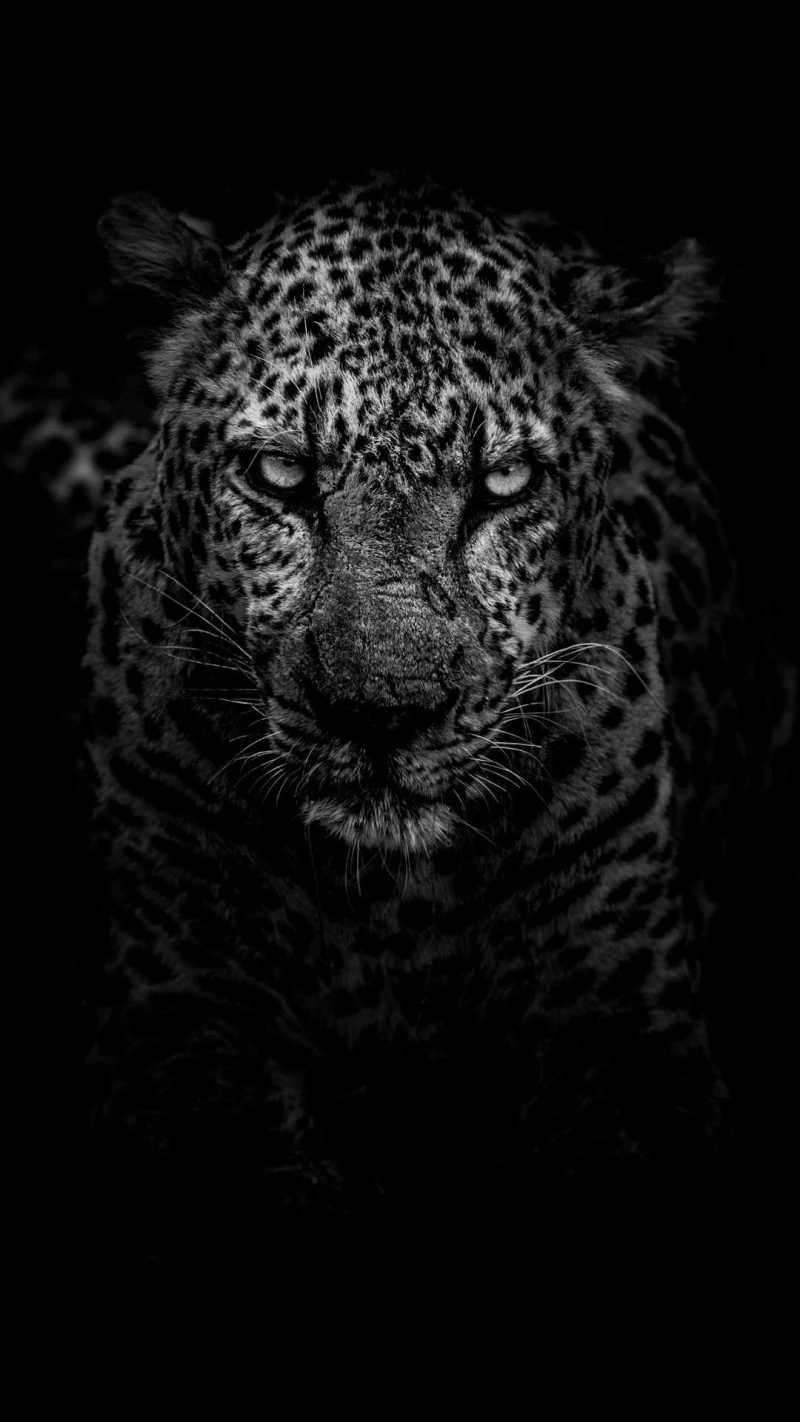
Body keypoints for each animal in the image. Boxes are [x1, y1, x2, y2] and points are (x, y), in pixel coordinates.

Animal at [16, 172, 795, 1273]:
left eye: (504, 484)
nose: (381, 715)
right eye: (279, 476)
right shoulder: (174, 1013)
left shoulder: (626, 1031)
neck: (391, 904)